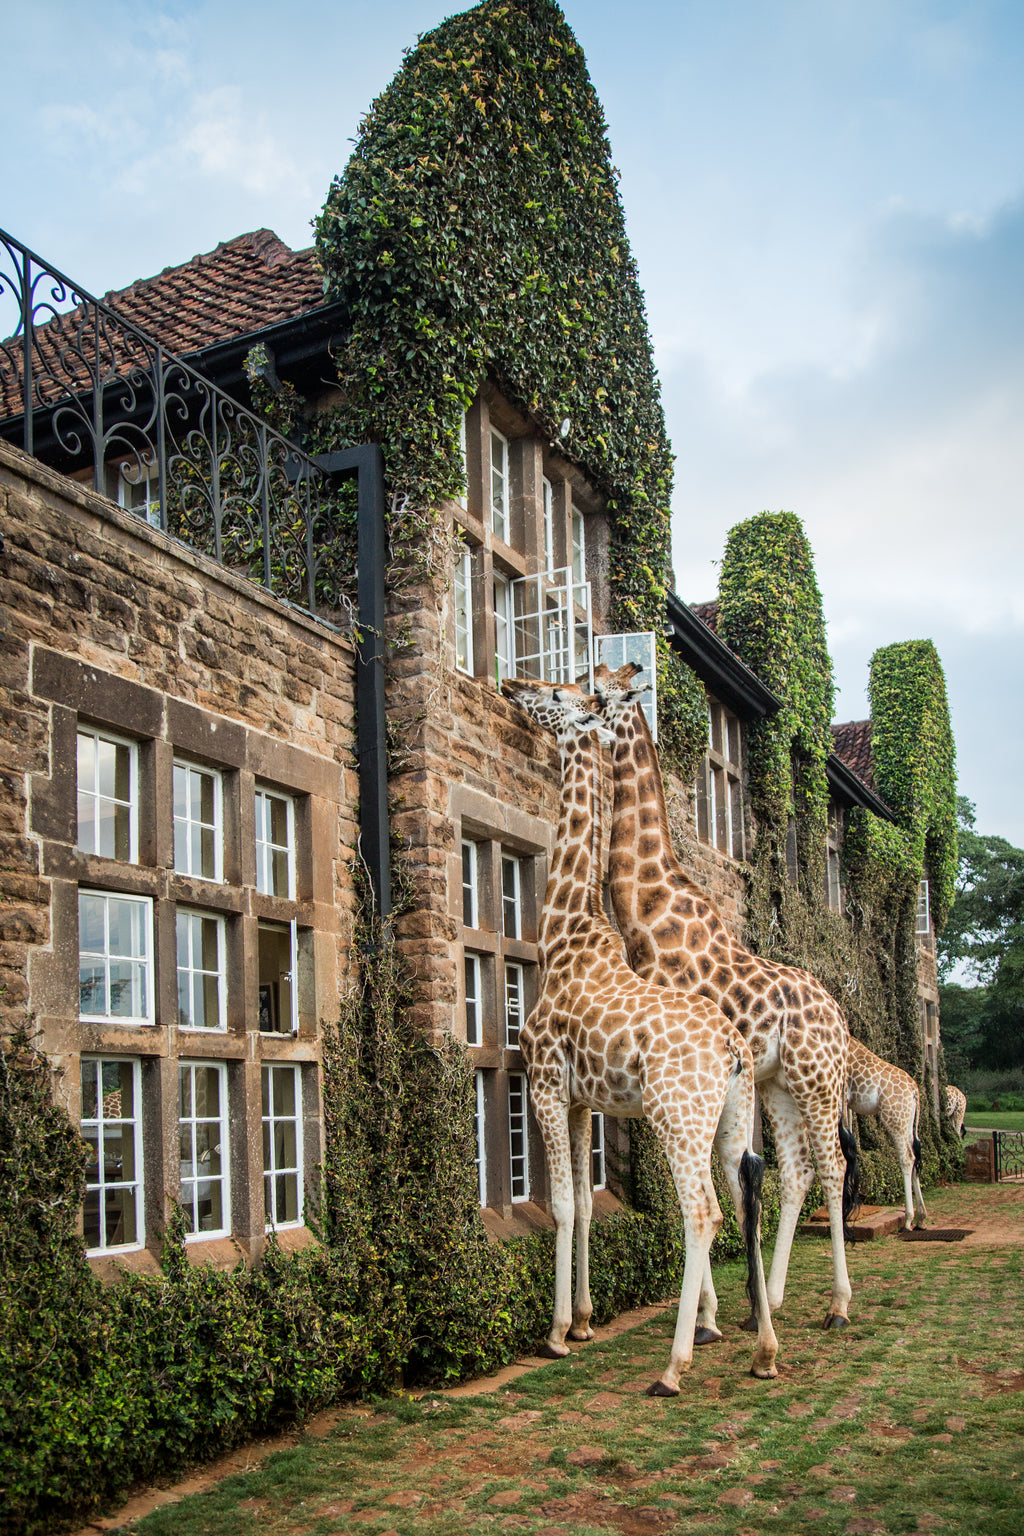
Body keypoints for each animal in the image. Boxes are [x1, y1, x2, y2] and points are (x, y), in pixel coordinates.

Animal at [501, 677, 778, 1393]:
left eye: (557, 694)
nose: (511, 683)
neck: (564, 932)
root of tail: (734, 1050)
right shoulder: (580, 1100)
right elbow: (586, 1205)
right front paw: (584, 1321)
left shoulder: (545, 1082)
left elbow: (562, 1204)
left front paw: (555, 1335)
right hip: (730, 1118)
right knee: (742, 1199)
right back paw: (764, 1350)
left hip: (675, 1116)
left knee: (702, 1212)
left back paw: (674, 1367)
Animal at [593, 663, 857, 1330]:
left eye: (597, 691)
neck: (648, 914)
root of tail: (841, 1020)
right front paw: (718, 1310)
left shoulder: (681, 1071)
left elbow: (699, 1186)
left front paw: (704, 1317)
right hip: (780, 1084)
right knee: (798, 1172)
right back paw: (775, 1299)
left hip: (817, 1082)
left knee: (834, 1166)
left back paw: (839, 1305)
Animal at [846, 1036, 928, 1230]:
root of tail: (915, 1091)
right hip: (907, 1122)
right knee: (915, 1156)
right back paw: (921, 1217)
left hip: (895, 1119)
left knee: (907, 1158)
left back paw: (908, 1219)